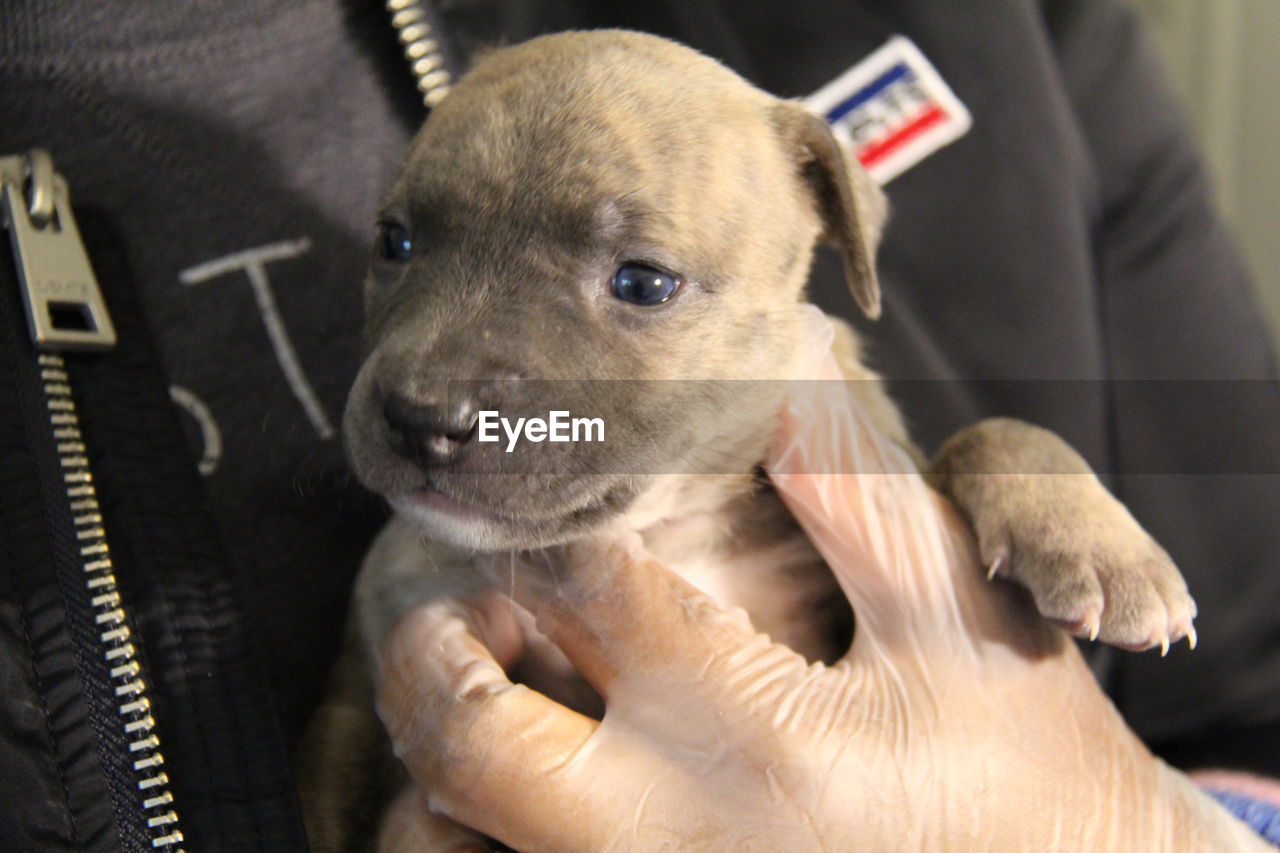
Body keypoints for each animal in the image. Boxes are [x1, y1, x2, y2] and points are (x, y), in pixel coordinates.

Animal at [296, 29, 1187, 845]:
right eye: (393, 241)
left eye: (642, 282)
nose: (419, 416)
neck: (673, 523)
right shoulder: (371, 657)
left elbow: (992, 429)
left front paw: (1099, 543)